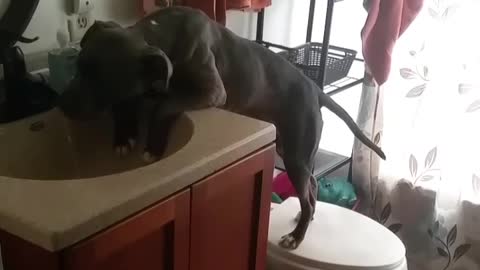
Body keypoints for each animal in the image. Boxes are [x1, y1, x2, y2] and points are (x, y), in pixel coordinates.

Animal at [57, 6, 386, 250]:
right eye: (79, 66)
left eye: (104, 81)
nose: (61, 103)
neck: (161, 36)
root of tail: (315, 89)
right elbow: (127, 106)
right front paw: (124, 136)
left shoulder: (211, 92)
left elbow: (165, 104)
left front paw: (152, 145)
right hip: (294, 153)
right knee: (312, 186)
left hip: (295, 154)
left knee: (306, 192)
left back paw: (298, 235)